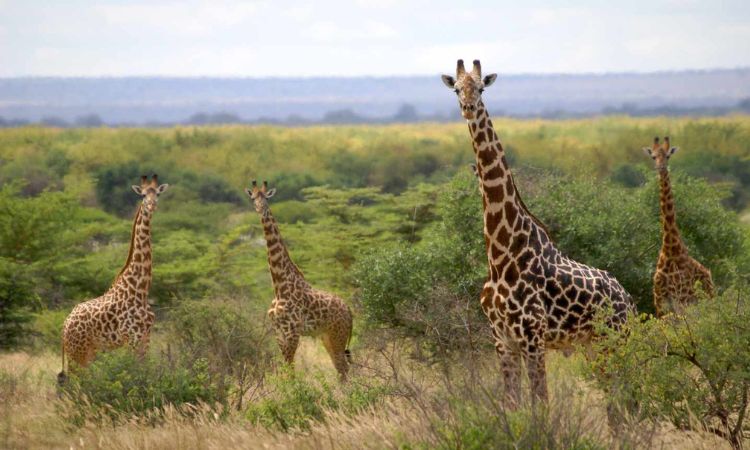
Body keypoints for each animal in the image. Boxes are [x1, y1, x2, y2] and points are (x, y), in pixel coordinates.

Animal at [58, 175, 168, 384]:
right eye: (143, 195)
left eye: (157, 194)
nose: (152, 206)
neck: (141, 289)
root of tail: (65, 325)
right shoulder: (132, 338)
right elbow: (135, 374)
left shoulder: (145, 337)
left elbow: (144, 373)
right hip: (77, 353)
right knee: (74, 384)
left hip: (89, 352)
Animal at [244, 180, 353, 381]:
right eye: (253, 198)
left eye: (266, 198)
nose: (261, 209)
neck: (279, 284)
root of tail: (349, 311)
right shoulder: (279, 332)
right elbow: (287, 370)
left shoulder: (292, 332)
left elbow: (290, 371)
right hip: (327, 336)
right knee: (341, 367)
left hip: (337, 334)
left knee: (343, 367)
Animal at [442, 60, 635, 403]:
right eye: (456, 89)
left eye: (481, 88)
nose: (468, 107)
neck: (501, 255)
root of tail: (629, 300)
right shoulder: (503, 340)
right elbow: (512, 404)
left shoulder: (532, 337)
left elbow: (541, 403)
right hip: (592, 345)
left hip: (614, 338)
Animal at [643, 136, 714, 317]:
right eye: (653, 156)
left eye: (668, 156)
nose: (660, 168)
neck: (670, 249)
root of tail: (707, 271)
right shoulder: (660, 303)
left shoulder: (682, 299)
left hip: (705, 298)